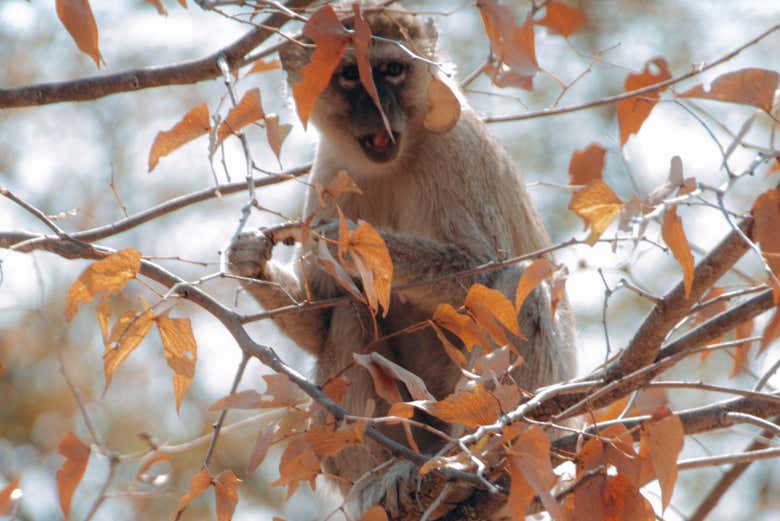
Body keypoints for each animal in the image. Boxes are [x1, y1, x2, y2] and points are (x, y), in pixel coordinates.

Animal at [227, 6, 574, 520]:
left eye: (391, 69)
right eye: (350, 74)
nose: (378, 109)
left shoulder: (456, 147)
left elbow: (483, 271)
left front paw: (348, 242)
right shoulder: (329, 174)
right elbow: (323, 316)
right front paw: (250, 261)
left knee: (519, 289)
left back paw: (474, 459)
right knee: (351, 313)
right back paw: (377, 481)